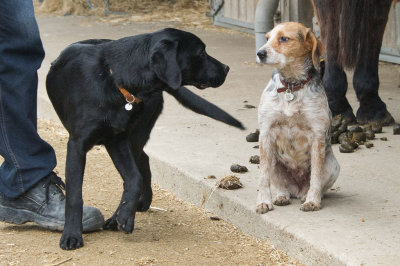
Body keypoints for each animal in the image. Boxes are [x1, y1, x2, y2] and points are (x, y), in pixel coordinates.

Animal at [45, 27, 242, 249]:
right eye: (201, 53)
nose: (226, 68)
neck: (112, 77)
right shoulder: (80, 145)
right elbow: (75, 195)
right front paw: (72, 235)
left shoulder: (118, 140)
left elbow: (134, 178)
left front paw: (125, 217)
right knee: (142, 161)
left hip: (136, 135)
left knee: (142, 162)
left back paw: (127, 211)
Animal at [256, 22, 338, 214]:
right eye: (267, 38)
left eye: (284, 38)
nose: (260, 53)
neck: (291, 86)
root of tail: (297, 189)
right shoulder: (265, 133)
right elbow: (263, 177)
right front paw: (263, 201)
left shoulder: (317, 136)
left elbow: (316, 177)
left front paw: (312, 201)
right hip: (273, 160)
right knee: (281, 187)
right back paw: (281, 196)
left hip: (333, 165)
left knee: (318, 186)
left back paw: (307, 196)